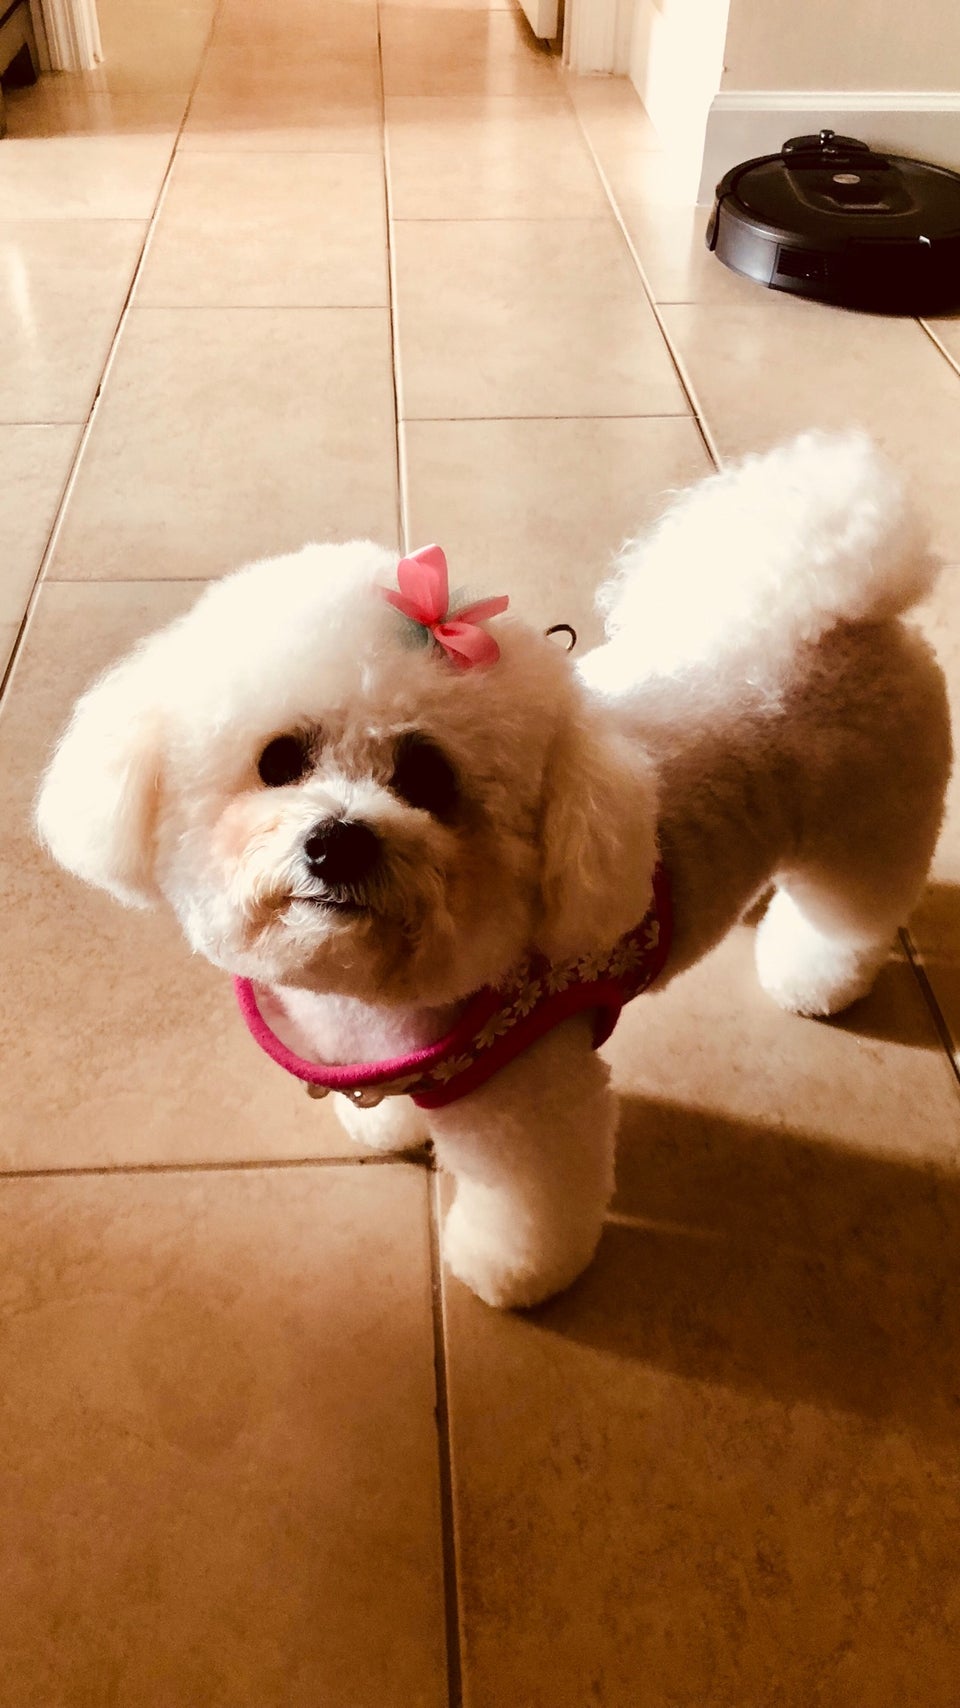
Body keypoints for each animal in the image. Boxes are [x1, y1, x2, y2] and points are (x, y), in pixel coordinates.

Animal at [36, 432, 951, 1309]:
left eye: (428, 777)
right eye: (280, 759)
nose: (340, 841)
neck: (378, 1003)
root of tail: (833, 611)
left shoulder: (532, 1104)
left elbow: (529, 1208)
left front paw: (513, 1277)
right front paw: (387, 1128)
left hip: (872, 832)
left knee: (850, 917)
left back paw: (813, 979)